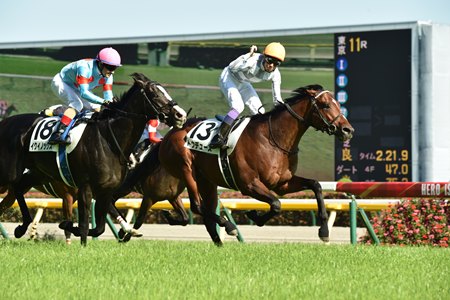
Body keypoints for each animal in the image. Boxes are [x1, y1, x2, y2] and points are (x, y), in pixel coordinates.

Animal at [0, 73, 186, 246]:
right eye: (154, 94)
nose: (180, 115)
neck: (108, 140)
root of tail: (5, 122)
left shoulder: (106, 191)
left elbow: (99, 228)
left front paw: (70, 226)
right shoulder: (85, 187)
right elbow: (84, 225)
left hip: (36, 173)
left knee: (17, 189)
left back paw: (21, 227)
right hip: (9, 172)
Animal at [160, 84, 354, 246]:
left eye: (337, 103)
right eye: (325, 105)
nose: (348, 130)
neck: (273, 139)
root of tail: (171, 132)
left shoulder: (282, 184)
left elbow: (315, 185)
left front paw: (324, 231)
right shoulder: (249, 185)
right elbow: (276, 204)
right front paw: (255, 215)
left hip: (207, 180)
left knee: (206, 212)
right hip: (186, 170)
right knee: (197, 206)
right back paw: (229, 226)